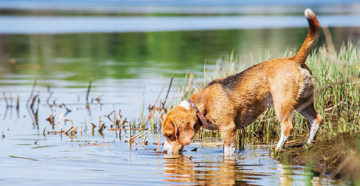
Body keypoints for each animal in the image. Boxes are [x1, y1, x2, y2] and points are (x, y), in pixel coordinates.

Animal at [163, 8, 324, 155]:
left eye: (170, 135)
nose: (164, 152)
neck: (200, 107)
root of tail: (294, 59)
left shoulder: (228, 129)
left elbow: (228, 152)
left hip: (282, 105)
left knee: (288, 127)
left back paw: (277, 148)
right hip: (303, 102)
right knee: (317, 119)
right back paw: (308, 143)